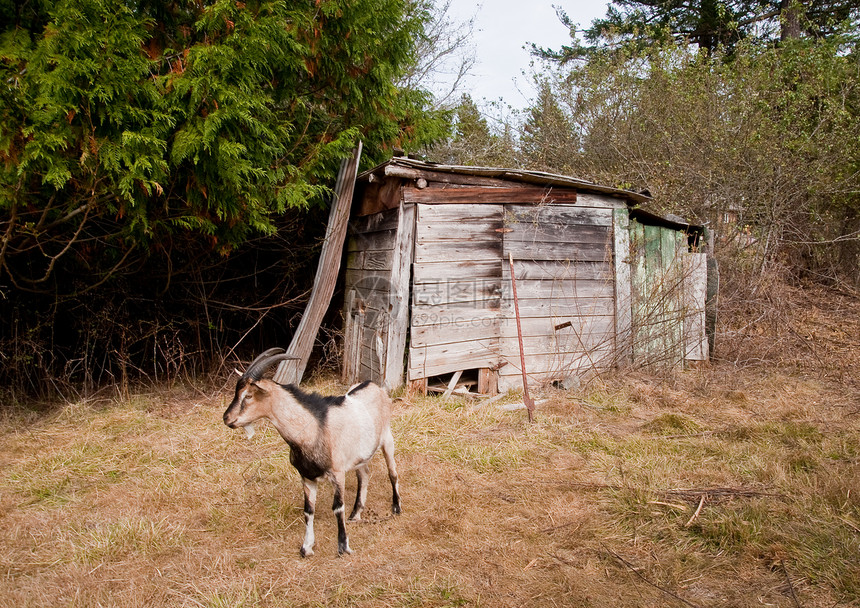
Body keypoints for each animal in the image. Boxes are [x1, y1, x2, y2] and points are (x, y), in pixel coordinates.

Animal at [218, 350, 400, 560]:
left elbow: (338, 507)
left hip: (387, 438)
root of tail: (375, 386)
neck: (313, 428)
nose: (227, 418)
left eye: (247, 395)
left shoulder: (337, 473)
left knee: (392, 472)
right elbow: (308, 510)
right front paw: (306, 547)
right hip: (360, 454)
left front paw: (343, 546)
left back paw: (396, 508)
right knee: (364, 474)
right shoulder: (307, 477)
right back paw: (356, 514)